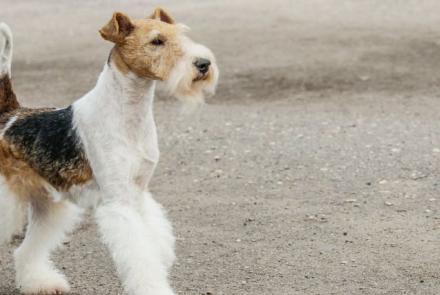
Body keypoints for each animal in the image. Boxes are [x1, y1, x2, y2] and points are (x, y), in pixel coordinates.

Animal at [0, 7, 219, 295]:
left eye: (182, 35)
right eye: (157, 41)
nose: (203, 64)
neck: (129, 115)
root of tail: (10, 115)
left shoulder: (138, 193)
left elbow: (153, 241)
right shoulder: (119, 201)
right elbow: (140, 255)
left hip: (47, 204)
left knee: (26, 250)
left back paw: (41, 283)